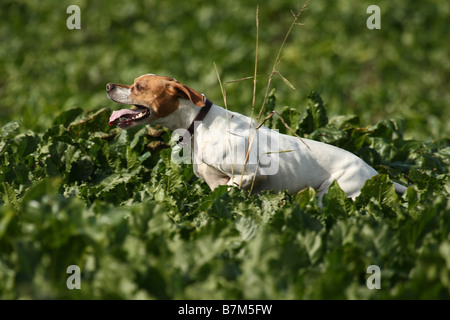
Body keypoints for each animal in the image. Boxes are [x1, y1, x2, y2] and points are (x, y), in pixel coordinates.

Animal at [106, 73, 408, 205]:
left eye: (139, 86)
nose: (108, 85)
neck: (197, 123)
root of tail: (374, 173)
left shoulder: (251, 174)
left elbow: (231, 190)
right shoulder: (214, 182)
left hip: (334, 192)